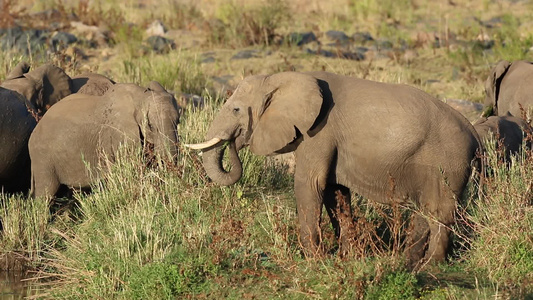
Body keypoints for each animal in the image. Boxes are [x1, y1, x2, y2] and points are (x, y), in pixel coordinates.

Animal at [29, 81, 181, 200]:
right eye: (150, 125)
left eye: (178, 122)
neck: (140, 97)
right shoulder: (118, 135)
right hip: (43, 159)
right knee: (46, 193)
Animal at [188, 71, 482, 270]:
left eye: (236, 109)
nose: (235, 141)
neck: (281, 78)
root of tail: (475, 134)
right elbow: (334, 191)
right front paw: (346, 257)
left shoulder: (320, 130)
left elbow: (309, 184)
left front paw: (312, 259)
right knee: (425, 211)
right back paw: (409, 262)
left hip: (448, 162)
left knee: (439, 212)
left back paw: (431, 266)